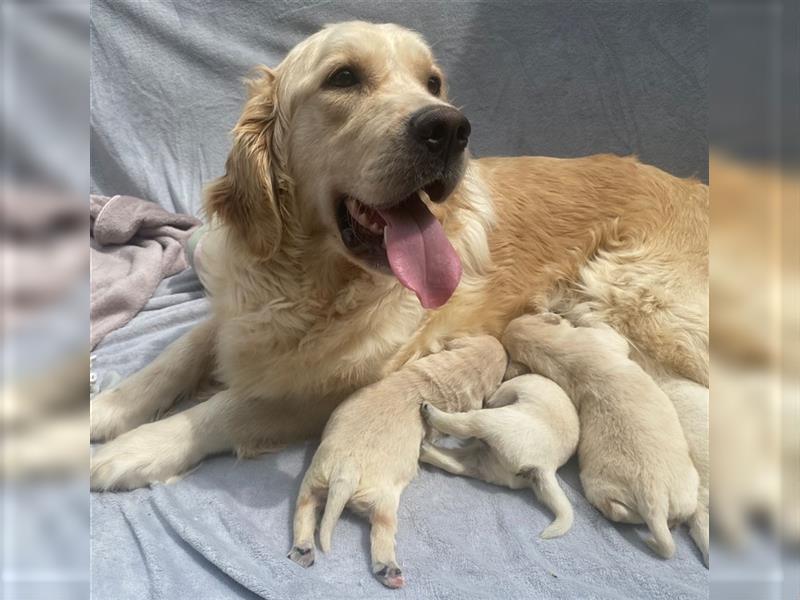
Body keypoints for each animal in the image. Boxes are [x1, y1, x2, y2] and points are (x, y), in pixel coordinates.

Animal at [89, 19, 708, 496]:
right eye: (343, 77)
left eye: (433, 82)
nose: (449, 127)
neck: (310, 280)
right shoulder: (234, 312)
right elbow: (176, 355)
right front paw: (111, 408)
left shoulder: (336, 384)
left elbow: (228, 407)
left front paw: (141, 447)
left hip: (637, 299)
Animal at [290, 336, 506, 588]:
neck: (454, 371)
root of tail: (347, 468)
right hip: (383, 501)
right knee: (381, 533)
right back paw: (389, 571)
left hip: (314, 478)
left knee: (304, 509)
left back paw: (302, 550)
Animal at [416, 376, 580, 540]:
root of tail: (545, 467)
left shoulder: (505, 391)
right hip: (489, 463)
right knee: (457, 464)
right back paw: (425, 450)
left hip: (491, 421)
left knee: (460, 424)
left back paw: (430, 411)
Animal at [504, 312, 696, 560]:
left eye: (527, 315)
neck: (546, 347)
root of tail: (654, 499)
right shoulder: (602, 339)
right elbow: (613, 336)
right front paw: (584, 316)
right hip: (605, 487)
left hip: (685, 494)